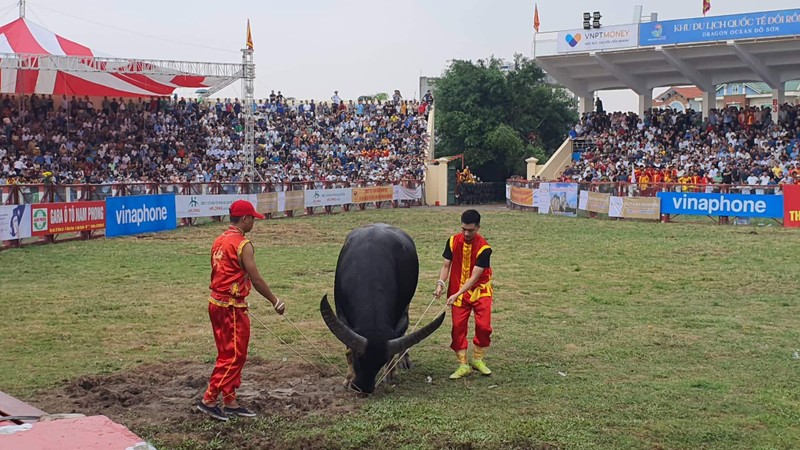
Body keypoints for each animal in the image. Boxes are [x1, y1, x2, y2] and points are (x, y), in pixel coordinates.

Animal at [318, 223, 444, 392]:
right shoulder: (341, 315)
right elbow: (348, 348)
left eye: (381, 362)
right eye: (358, 358)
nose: (363, 387)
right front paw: (348, 378)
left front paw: (390, 373)